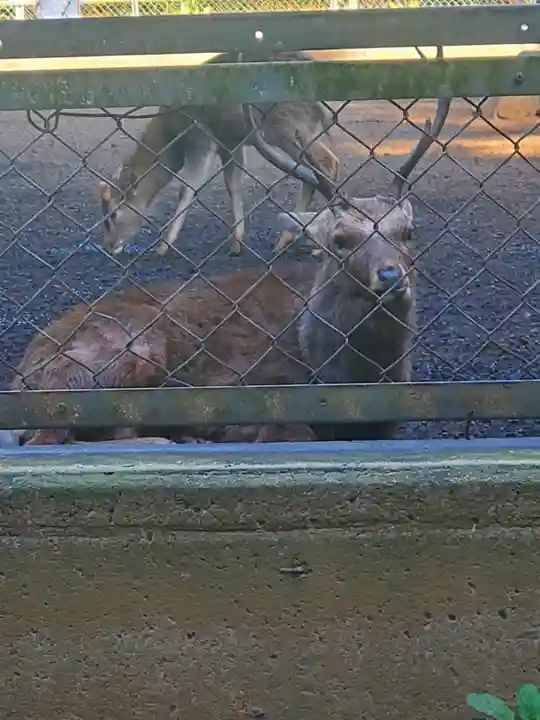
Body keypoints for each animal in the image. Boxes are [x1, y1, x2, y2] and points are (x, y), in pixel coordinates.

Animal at [13, 93, 450, 446]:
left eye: (408, 231)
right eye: (339, 239)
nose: (391, 277)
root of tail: (20, 375)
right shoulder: (251, 386)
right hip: (115, 358)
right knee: (51, 438)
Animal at [99, 50, 339, 259]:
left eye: (112, 215)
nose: (110, 246)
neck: (171, 134)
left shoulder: (200, 138)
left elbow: (187, 189)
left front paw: (163, 246)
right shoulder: (230, 142)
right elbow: (232, 185)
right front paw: (237, 243)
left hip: (288, 128)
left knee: (327, 163)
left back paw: (315, 246)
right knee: (318, 169)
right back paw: (290, 239)